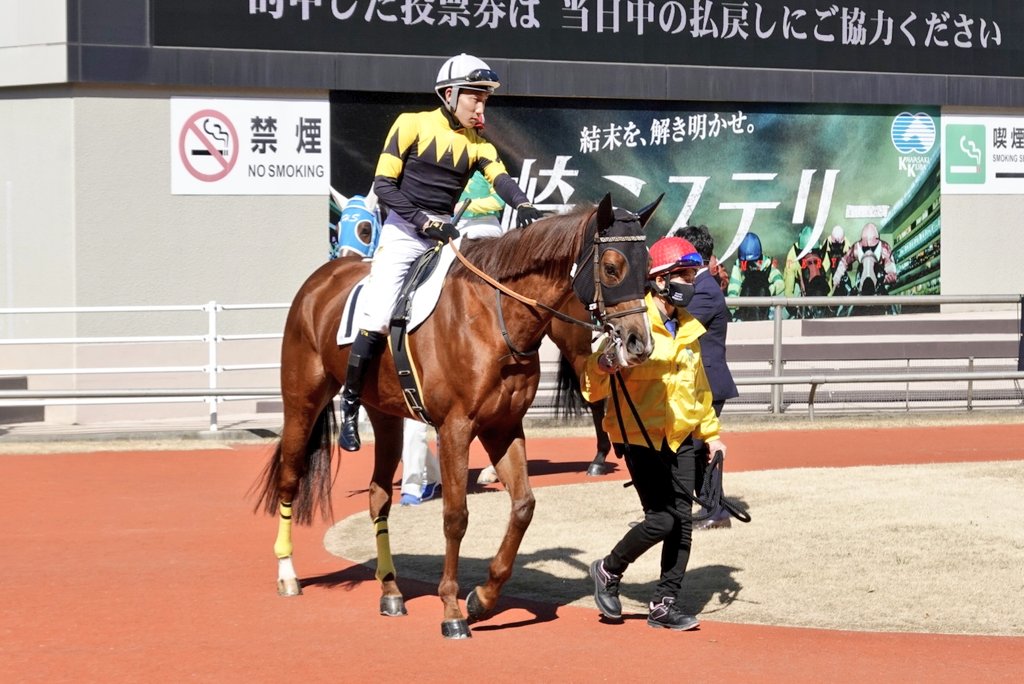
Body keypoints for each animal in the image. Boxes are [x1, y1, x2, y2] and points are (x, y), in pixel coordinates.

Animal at [253, 194, 655, 638]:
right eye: (613, 267)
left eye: (648, 270)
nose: (639, 342)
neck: (494, 317)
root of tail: (321, 277)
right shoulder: (455, 428)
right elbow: (455, 516)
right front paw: (451, 609)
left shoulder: (503, 426)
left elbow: (524, 506)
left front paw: (482, 599)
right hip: (302, 401)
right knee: (290, 479)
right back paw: (287, 573)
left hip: (386, 414)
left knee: (378, 497)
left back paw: (390, 590)